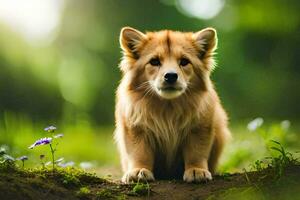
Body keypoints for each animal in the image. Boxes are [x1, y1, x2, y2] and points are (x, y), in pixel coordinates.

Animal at [113, 26, 231, 183]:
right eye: (154, 61)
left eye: (184, 61)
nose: (170, 76)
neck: (168, 107)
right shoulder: (135, 129)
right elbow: (140, 153)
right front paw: (138, 170)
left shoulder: (200, 128)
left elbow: (196, 152)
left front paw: (196, 170)